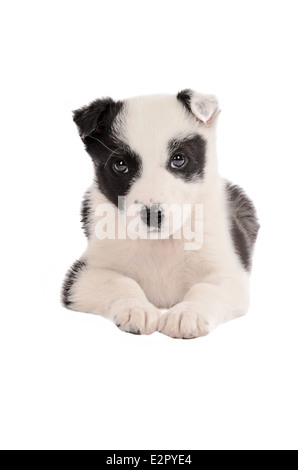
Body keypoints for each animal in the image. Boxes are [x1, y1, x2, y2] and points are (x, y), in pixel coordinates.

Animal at [61, 90, 260, 338]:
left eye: (178, 159)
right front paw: (136, 309)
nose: (152, 215)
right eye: (120, 165)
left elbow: (205, 289)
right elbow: (120, 282)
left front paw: (187, 314)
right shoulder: (82, 275)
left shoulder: (229, 274)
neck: (161, 244)